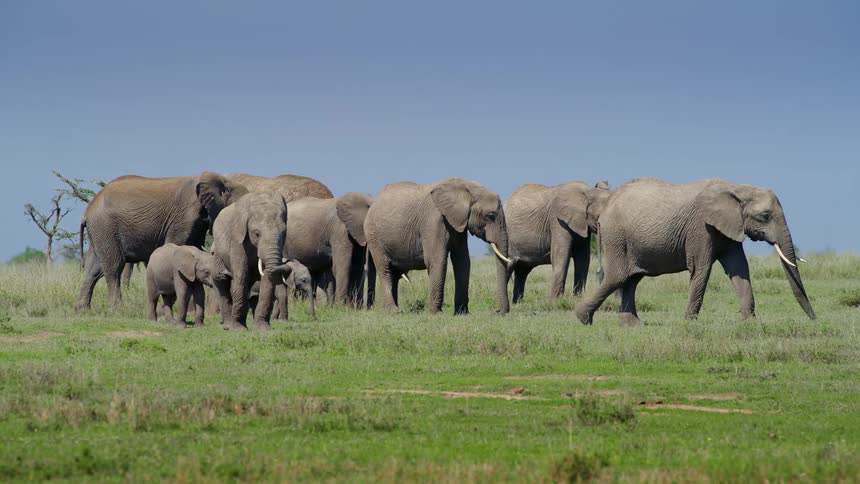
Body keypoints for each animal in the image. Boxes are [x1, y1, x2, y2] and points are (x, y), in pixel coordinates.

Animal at [77, 172, 247, 310]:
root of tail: (87, 210)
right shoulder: (184, 217)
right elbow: (177, 246)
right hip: (105, 226)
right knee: (114, 266)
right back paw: (117, 309)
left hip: (100, 231)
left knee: (94, 268)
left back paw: (83, 310)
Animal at [212, 191, 291, 330]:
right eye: (256, 233)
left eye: (284, 233)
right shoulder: (237, 239)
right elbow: (241, 275)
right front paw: (237, 329)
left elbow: (267, 280)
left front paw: (263, 329)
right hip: (218, 252)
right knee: (220, 279)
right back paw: (228, 326)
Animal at [364, 178, 511, 315]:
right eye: (491, 216)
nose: (498, 311)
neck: (466, 187)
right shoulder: (433, 220)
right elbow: (437, 260)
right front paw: (437, 314)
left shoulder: (458, 223)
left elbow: (462, 261)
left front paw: (462, 313)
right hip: (373, 236)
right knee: (385, 270)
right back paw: (394, 311)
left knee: (394, 274)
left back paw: (396, 309)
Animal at [574, 178, 816, 326]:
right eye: (765, 216)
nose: (815, 320)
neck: (738, 188)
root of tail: (605, 210)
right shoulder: (701, 228)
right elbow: (702, 269)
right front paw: (689, 323)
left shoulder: (729, 229)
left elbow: (739, 269)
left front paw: (750, 323)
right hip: (617, 236)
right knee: (618, 276)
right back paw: (582, 319)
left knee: (631, 279)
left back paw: (632, 326)